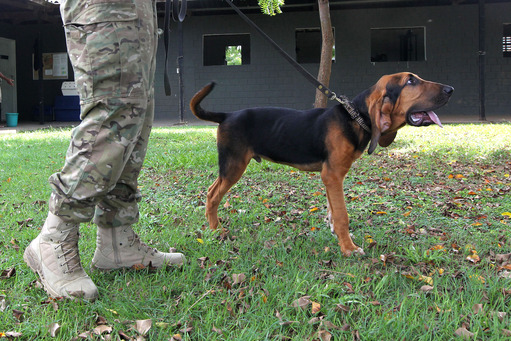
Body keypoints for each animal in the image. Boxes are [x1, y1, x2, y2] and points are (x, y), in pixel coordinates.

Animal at [190, 73, 454, 256]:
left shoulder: (331, 177)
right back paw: (216, 230)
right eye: (410, 81)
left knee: (211, 191)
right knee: (212, 195)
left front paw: (336, 234)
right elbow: (343, 215)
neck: (354, 117)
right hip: (233, 165)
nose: (450, 89)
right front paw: (349, 248)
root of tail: (227, 116)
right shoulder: (333, 175)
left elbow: (332, 211)